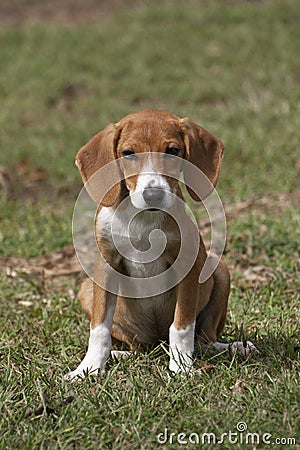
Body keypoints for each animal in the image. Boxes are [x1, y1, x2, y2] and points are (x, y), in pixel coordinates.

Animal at [65, 109, 258, 380]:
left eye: (173, 150)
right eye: (128, 153)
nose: (153, 195)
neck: (143, 221)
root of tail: (157, 343)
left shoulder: (187, 267)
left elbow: (182, 326)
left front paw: (181, 368)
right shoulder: (106, 265)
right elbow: (99, 327)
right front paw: (88, 367)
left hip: (221, 271)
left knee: (205, 341)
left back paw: (235, 347)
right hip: (87, 290)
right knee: (137, 347)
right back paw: (118, 354)